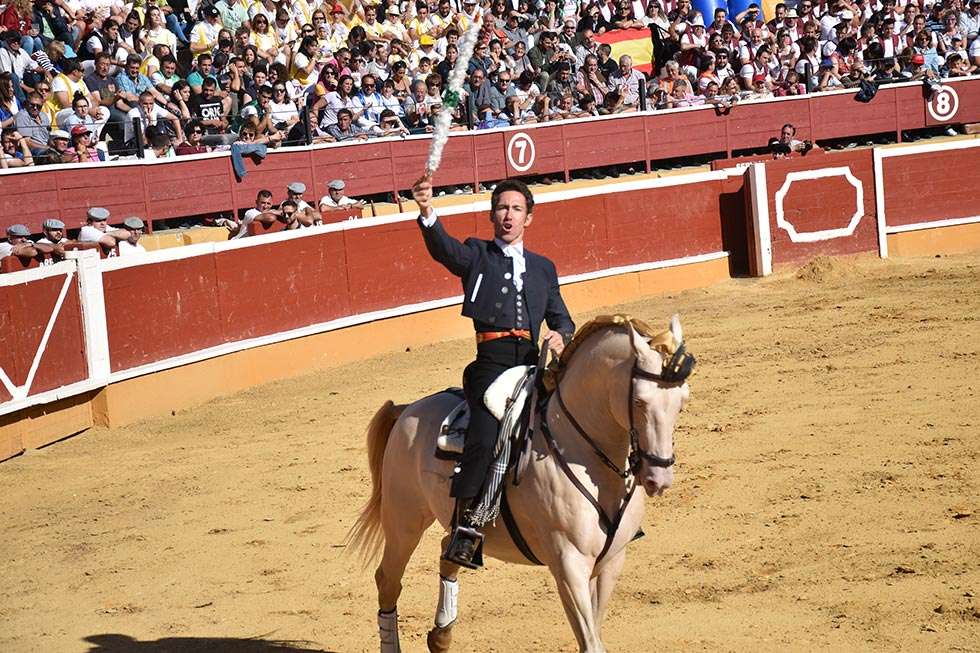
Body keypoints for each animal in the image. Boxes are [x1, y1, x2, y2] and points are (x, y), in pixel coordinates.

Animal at [348, 314, 692, 648]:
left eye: (681, 401)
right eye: (640, 402)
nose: (659, 478)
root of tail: (407, 409)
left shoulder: (611, 562)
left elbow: (595, 631)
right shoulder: (568, 564)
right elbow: (591, 641)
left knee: (448, 551)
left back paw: (441, 636)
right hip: (403, 520)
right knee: (388, 580)